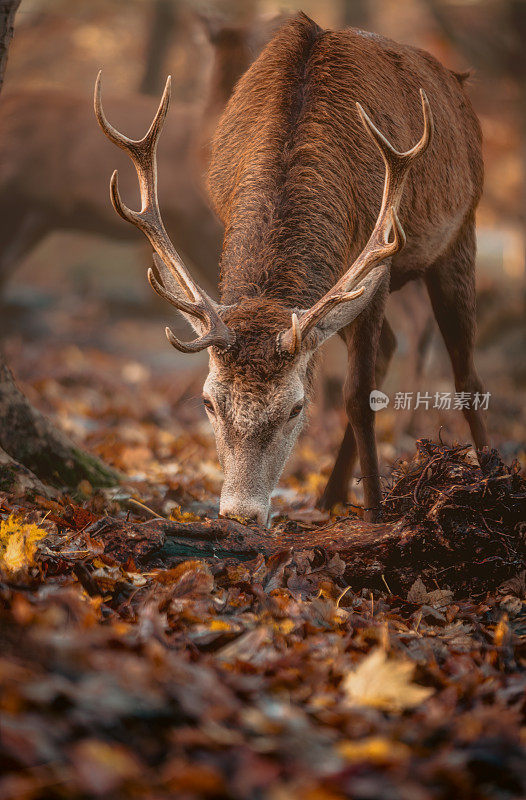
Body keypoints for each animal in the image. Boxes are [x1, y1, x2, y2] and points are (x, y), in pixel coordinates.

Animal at [96, 14, 490, 524]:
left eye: (295, 409)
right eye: (208, 402)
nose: (240, 513)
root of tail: (458, 80)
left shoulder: (380, 257)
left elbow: (357, 395)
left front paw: (378, 515)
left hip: (462, 229)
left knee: (466, 378)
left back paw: (493, 480)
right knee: (391, 347)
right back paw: (328, 497)